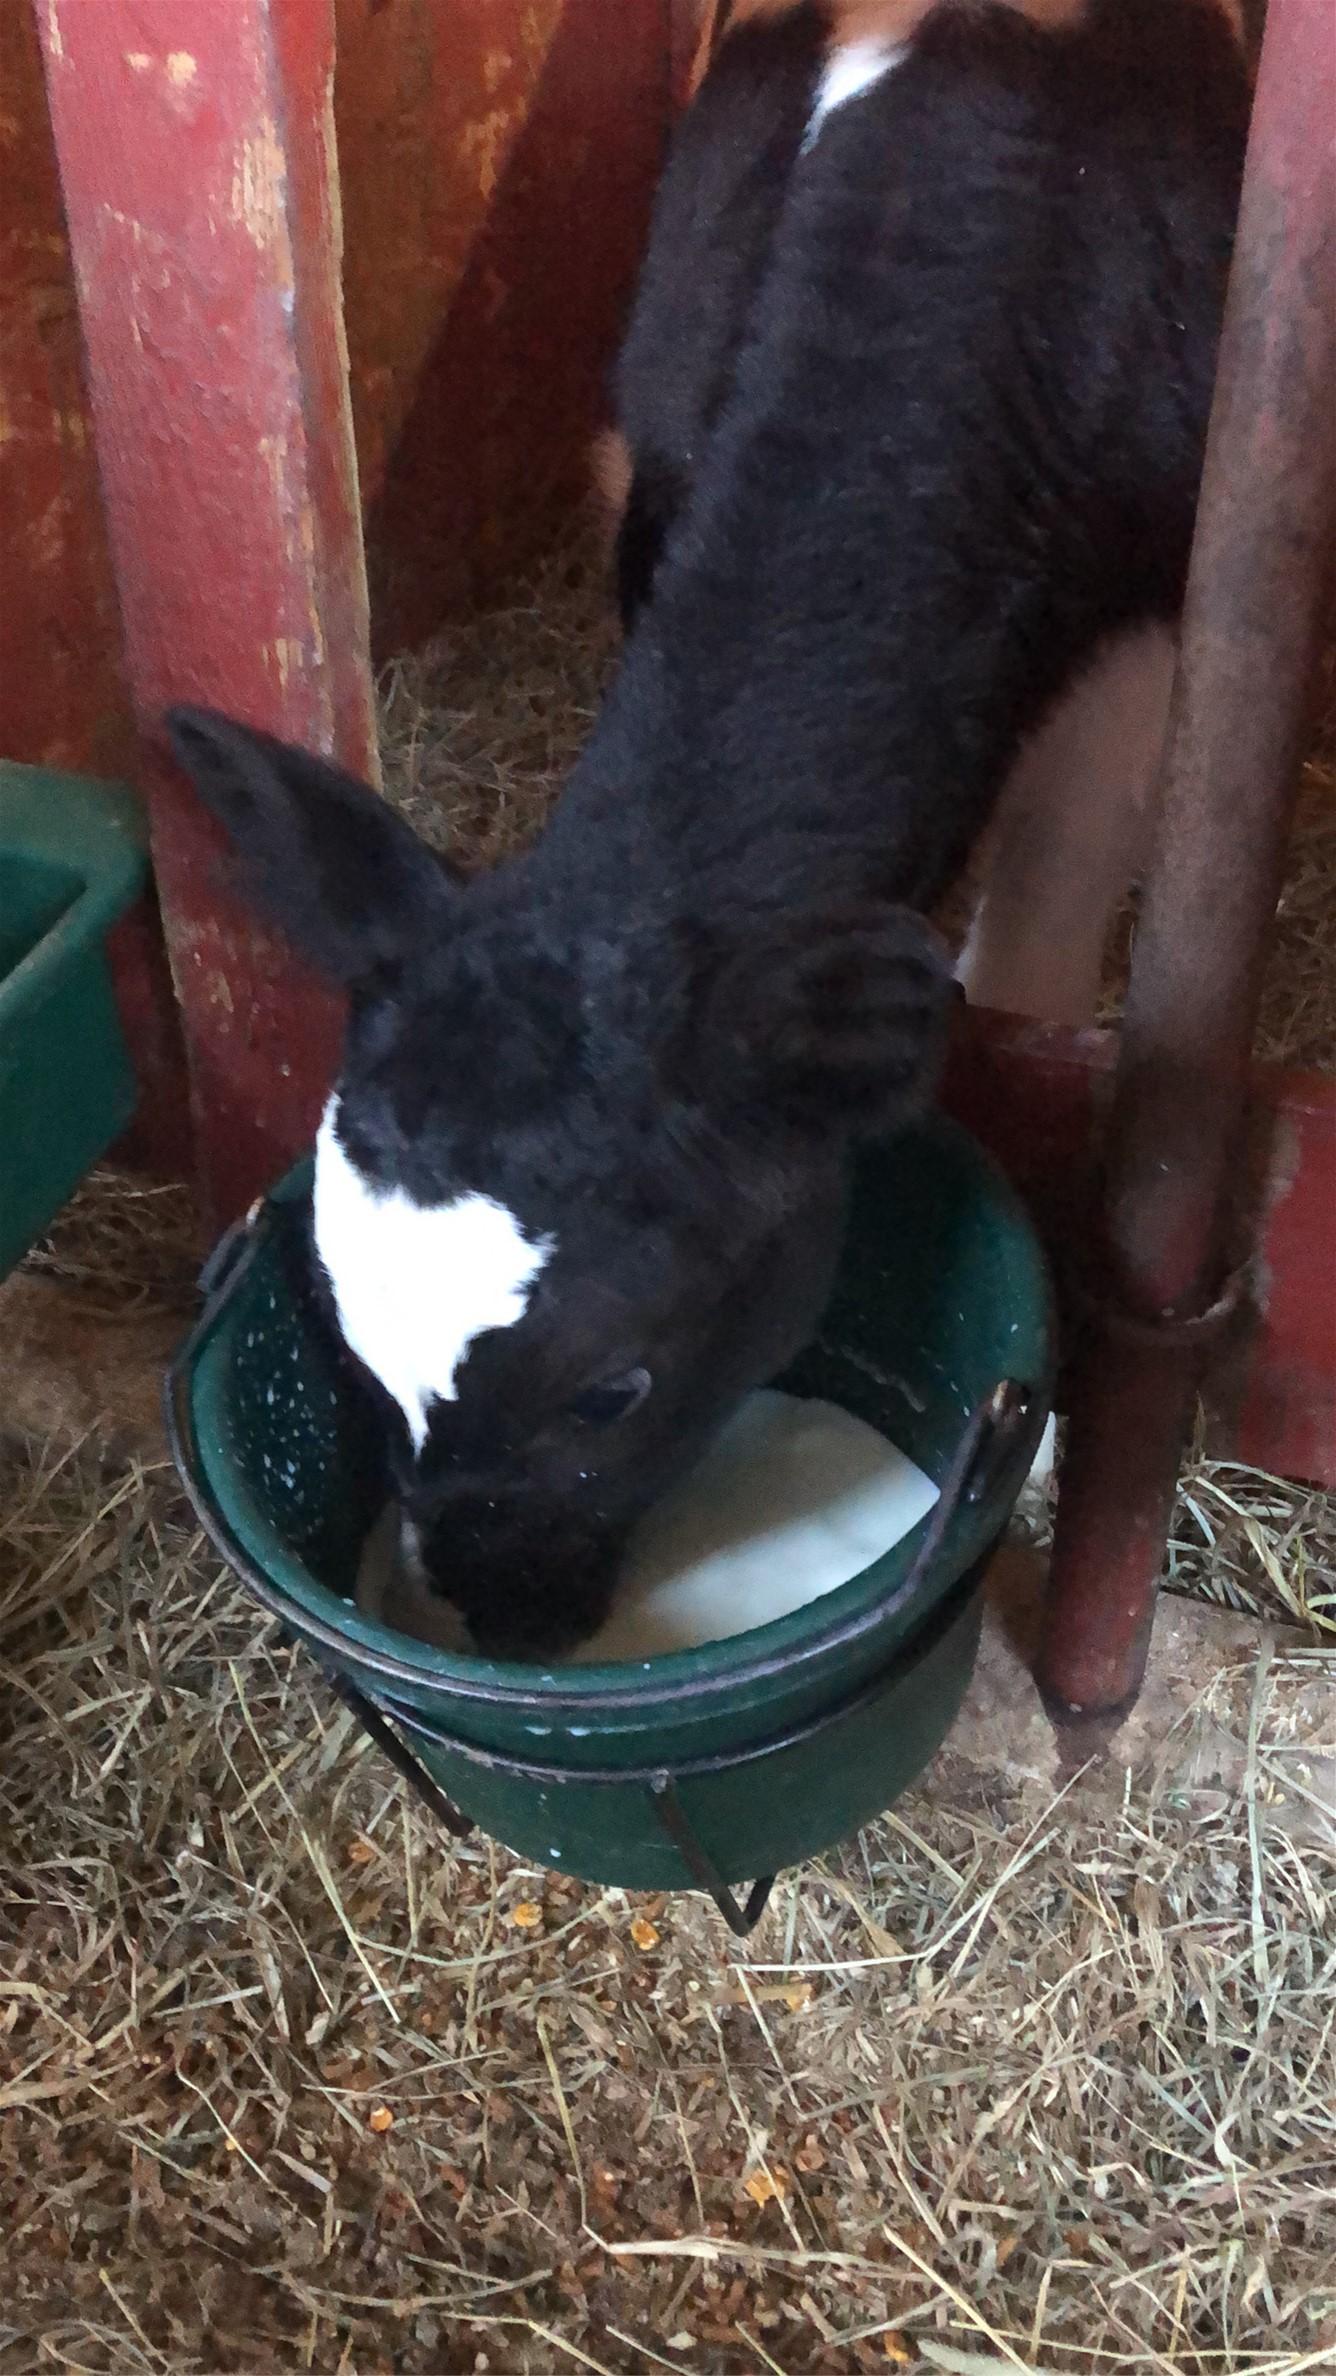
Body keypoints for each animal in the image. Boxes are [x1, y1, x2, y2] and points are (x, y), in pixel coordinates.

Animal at [166, 0, 1245, 1653]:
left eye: (613, 1390)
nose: (495, 1613)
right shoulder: (656, 483)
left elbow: (1035, 988)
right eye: (346, 1337)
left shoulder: (1141, 646)